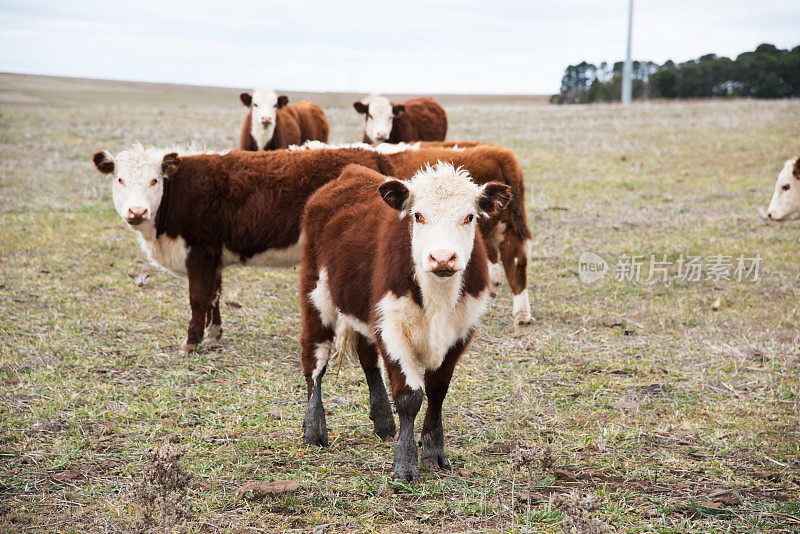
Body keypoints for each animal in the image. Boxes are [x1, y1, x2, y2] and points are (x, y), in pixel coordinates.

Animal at [90, 142, 390, 354]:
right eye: (120, 180)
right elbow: (214, 296)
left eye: (154, 180)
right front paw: (213, 338)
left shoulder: (199, 254)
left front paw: (190, 342)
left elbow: (198, 298)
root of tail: (372, 156)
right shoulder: (213, 258)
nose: (137, 211)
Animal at [296, 162, 510, 482]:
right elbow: (410, 397)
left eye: (469, 216)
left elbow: (437, 391)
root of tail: (350, 173)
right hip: (317, 295)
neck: (437, 298)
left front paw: (434, 452)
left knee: (367, 356)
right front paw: (405, 464)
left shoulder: (461, 332)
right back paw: (313, 429)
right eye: (417, 215)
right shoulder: (393, 329)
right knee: (314, 358)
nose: (442, 258)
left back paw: (383, 421)